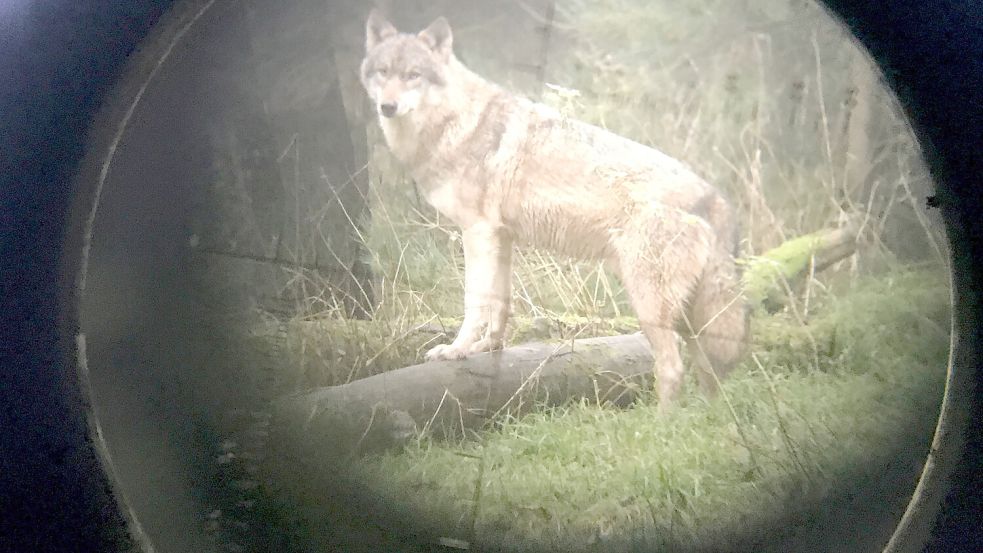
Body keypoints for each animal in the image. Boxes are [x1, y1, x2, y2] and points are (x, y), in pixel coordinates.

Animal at [360, 10, 748, 409]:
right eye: (383, 72)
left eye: (413, 75)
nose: (387, 107)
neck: (455, 123)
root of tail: (715, 197)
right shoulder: (502, 237)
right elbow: (500, 303)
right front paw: (489, 347)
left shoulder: (477, 233)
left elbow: (475, 302)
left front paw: (456, 350)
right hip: (688, 318)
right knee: (709, 374)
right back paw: (707, 418)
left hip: (650, 307)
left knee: (673, 369)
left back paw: (660, 423)